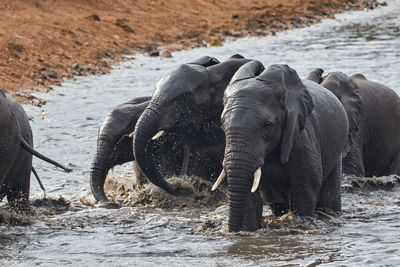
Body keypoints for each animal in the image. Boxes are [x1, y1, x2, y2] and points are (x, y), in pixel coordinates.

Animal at [214, 62, 348, 232]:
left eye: (267, 125)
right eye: (222, 126)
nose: (232, 232)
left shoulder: (301, 139)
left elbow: (304, 191)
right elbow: (251, 199)